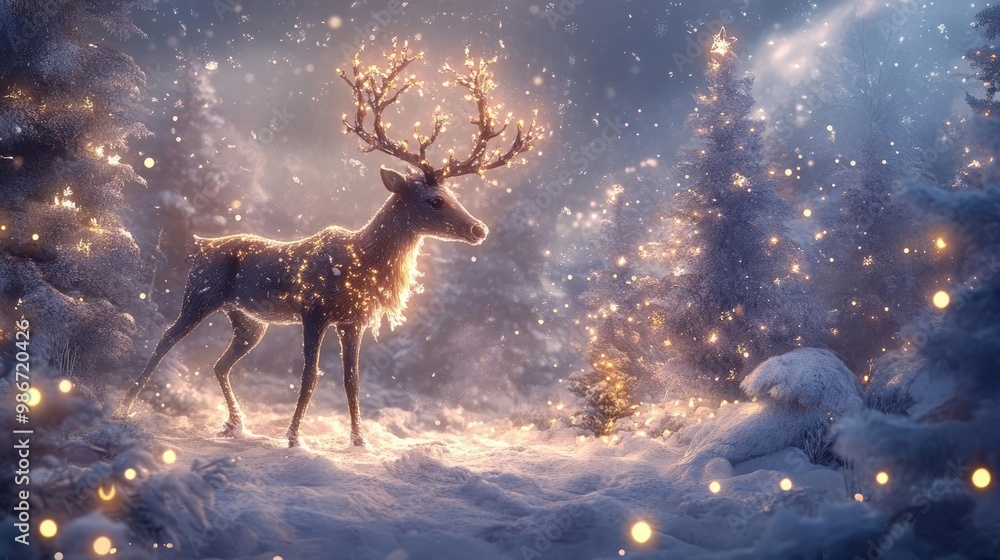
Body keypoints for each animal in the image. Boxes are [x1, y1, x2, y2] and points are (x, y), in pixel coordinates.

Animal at [117, 39, 541, 447]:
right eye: (434, 200)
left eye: (453, 195)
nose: (478, 230)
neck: (363, 265)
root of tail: (199, 246)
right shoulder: (314, 310)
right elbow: (310, 376)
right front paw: (293, 439)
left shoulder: (353, 320)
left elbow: (352, 381)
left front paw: (359, 441)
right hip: (200, 295)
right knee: (163, 342)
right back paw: (124, 410)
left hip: (249, 321)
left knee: (220, 364)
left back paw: (236, 426)